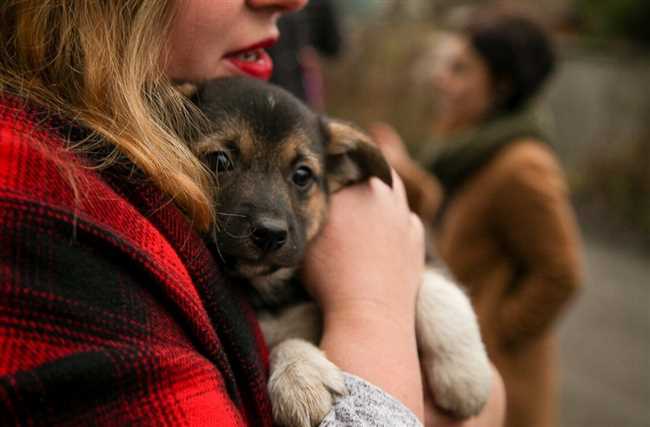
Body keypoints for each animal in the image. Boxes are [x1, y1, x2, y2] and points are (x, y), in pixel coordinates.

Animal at [185, 77, 488, 427]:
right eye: (220, 161)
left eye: (302, 175)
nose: (271, 234)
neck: (270, 287)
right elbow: (283, 341)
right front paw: (301, 378)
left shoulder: (423, 245)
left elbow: (439, 291)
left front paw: (464, 375)